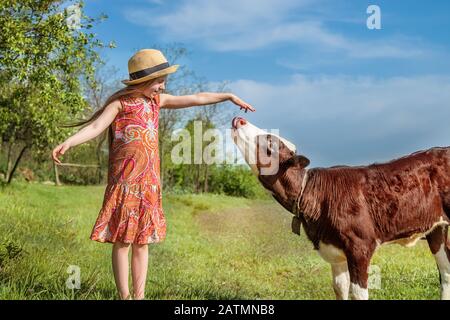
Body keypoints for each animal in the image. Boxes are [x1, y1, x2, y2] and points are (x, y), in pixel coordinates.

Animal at [230, 117, 450, 300]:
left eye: (270, 142)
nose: (239, 119)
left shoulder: (360, 245)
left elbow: (357, 293)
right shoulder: (334, 252)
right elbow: (339, 287)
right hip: (437, 230)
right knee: (446, 272)